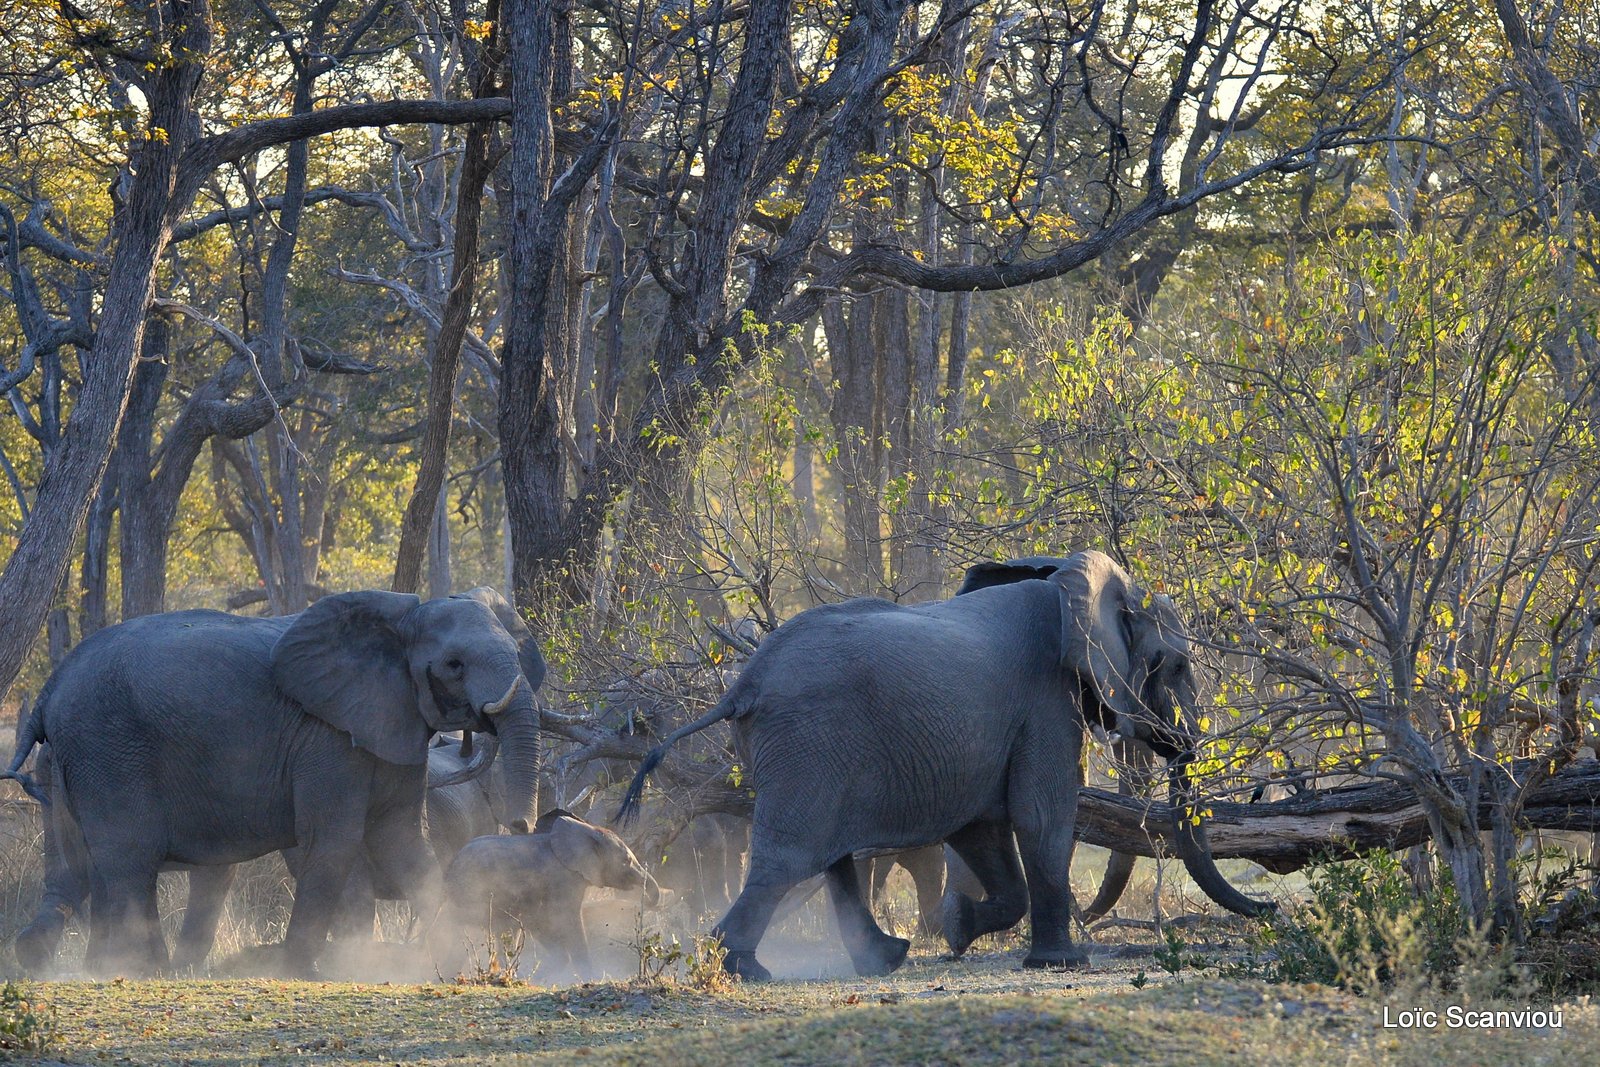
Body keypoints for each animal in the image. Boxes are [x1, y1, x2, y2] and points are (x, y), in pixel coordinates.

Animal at [3, 588, 547, 979]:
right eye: (454, 665)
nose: (522, 826)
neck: (398, 621)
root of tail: (51, 686)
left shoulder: (392, 721)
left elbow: (403, 844)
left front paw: (449, 962)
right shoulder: (327, 736)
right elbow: (334, 842)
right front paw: (309, 971)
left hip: (77, 759)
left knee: (83, 866)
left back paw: (58, 960)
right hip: (108, 748)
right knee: (129, 858)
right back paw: (145, 970)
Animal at [435, 809, 659, 979]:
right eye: (626, 861)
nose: (647, 902)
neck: (587, 831)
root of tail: (450, 869)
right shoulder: (563, 878)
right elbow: (568, 919)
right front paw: (591, 978)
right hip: (471, 892)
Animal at [617, 556, 1267, 979]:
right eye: (1176, 665)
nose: (1273, 910)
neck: (1070, 581)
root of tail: (742, 685)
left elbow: (984, 828)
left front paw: (956, 926)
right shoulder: (1044, 701)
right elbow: (1041, 815)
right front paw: (1060, 963)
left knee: (833, 859)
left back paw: (886, 960)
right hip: (808, 747)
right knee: (790, 858)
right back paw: (743, 967)